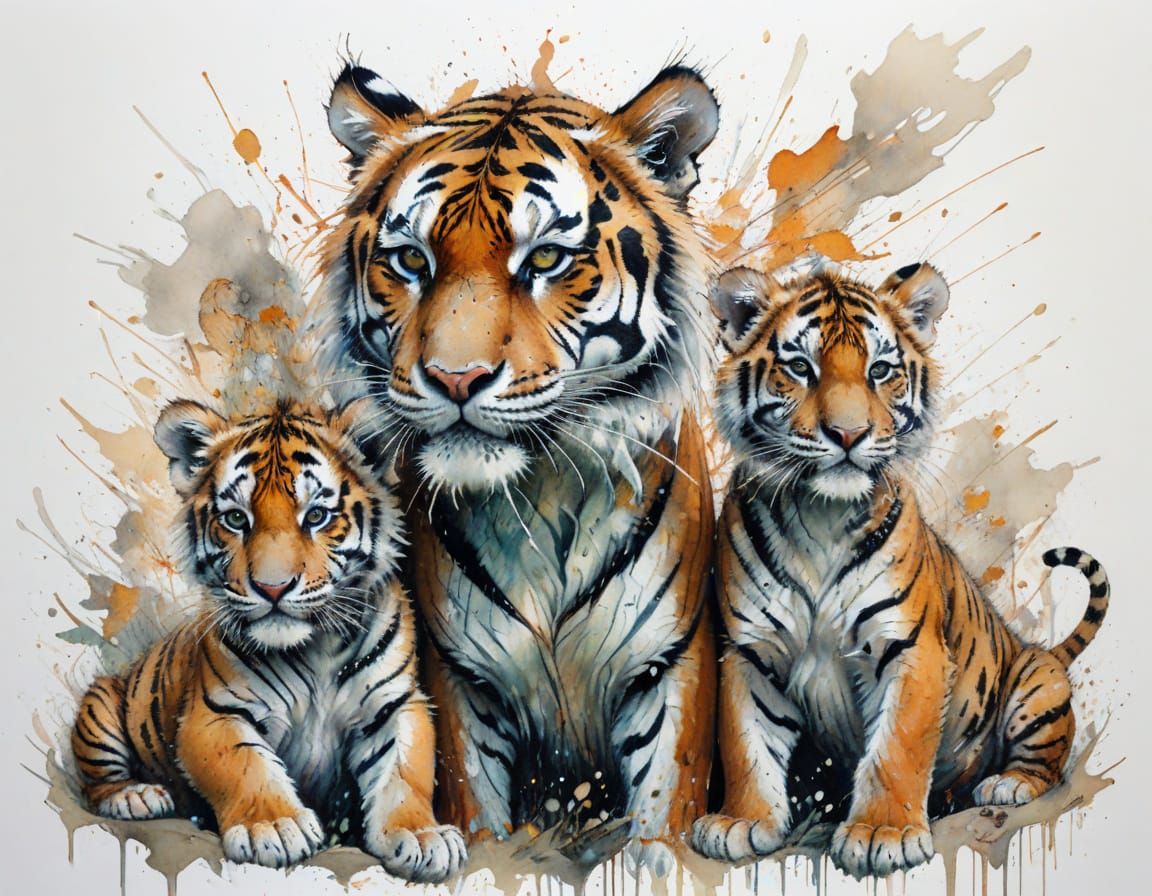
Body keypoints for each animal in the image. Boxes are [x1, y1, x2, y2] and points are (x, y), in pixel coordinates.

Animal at [70, 400, 467, 882]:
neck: (317, 648)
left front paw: (423, 835)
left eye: (316, 516)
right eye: (236, 519)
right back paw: (135, 795)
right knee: (98, 778)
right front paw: (275, 826)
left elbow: (405, 772)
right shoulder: (215, 713)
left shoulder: (394, 704)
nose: (272, 588)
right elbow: (247, 764)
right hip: (101, 704)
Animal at [318, 62, 721, 869]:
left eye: (544, 260)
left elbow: (665, 801)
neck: (542, 491)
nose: (456, 379)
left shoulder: (669, 663)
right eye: (412, 260)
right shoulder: (461, 681)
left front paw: (653, 860)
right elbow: (477, 810)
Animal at [689, 259, 1110, 879]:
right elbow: (747, 744)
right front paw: (740, 822)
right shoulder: (749, 653)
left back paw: (1006, 785)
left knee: (1047, 763)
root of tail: (1043, 649)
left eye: (880, 370)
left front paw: (881, 834)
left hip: (1037, 685)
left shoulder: (911, 646)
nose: (847, 434)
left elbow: (897, 747)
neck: (821, 516)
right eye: (800, 368)